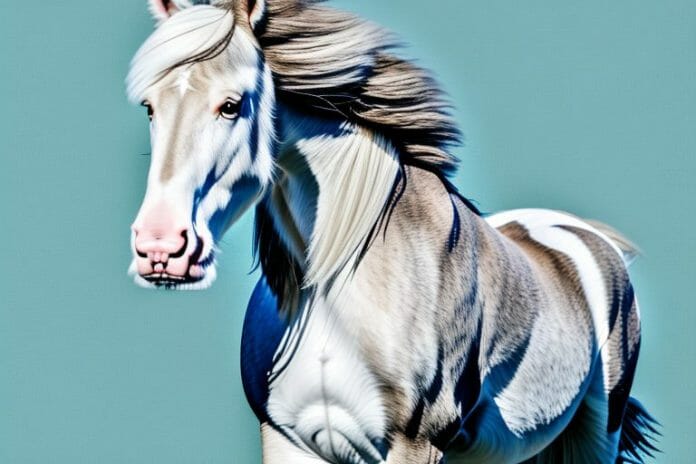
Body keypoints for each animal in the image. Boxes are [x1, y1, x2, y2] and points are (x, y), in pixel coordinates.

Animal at [125, 1, 659, 462]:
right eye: (149, 107)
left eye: (232, 104)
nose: (161, 248)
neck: (340, 286)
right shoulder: (286, 441)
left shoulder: (415, 442)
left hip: (595, 439)